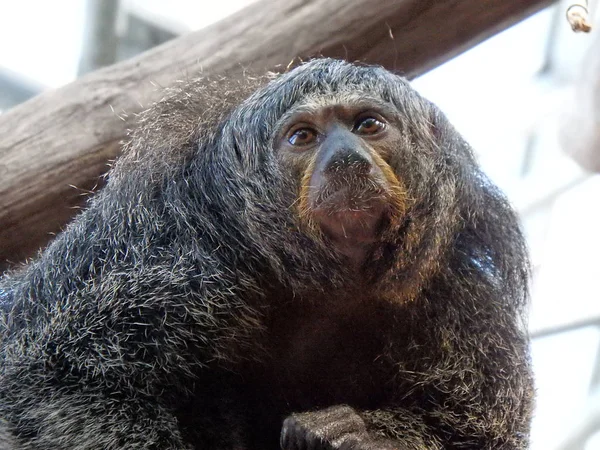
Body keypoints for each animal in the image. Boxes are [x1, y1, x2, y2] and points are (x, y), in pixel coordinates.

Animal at [0, 59, 536, 446]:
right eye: (304, 137)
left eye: (367, 125)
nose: (345, 159)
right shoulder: (168, 255)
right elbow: (51, 375)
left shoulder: (455, 289)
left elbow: (469, 430)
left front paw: (362, 437)